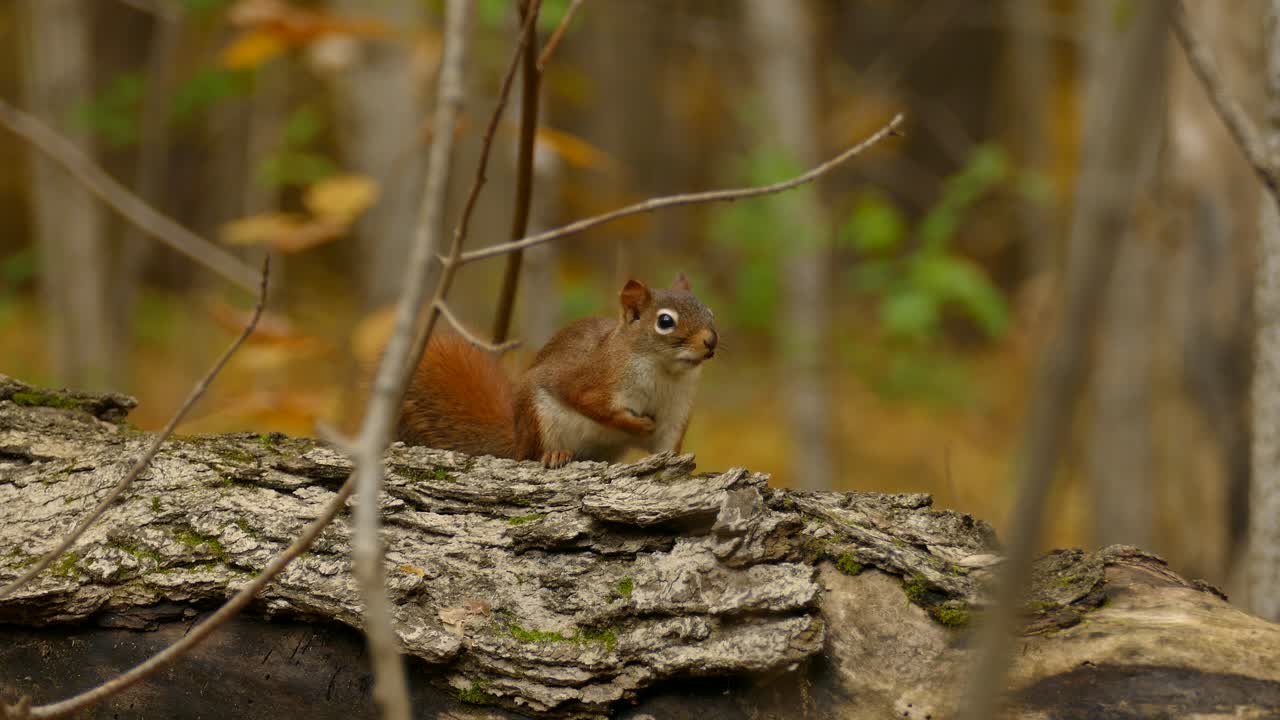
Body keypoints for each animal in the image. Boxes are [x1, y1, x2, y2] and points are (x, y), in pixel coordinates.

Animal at [397, 275, 718, 468]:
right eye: (665, 322)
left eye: (709, 312)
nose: (710, 341)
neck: (665, 373)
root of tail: (517, 440)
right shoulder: (590, 379)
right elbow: (592, 405)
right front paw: (636, 425)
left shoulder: (675, 414)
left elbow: (667, 446)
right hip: (538, 418)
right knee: (530, 456)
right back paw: (555, 454)